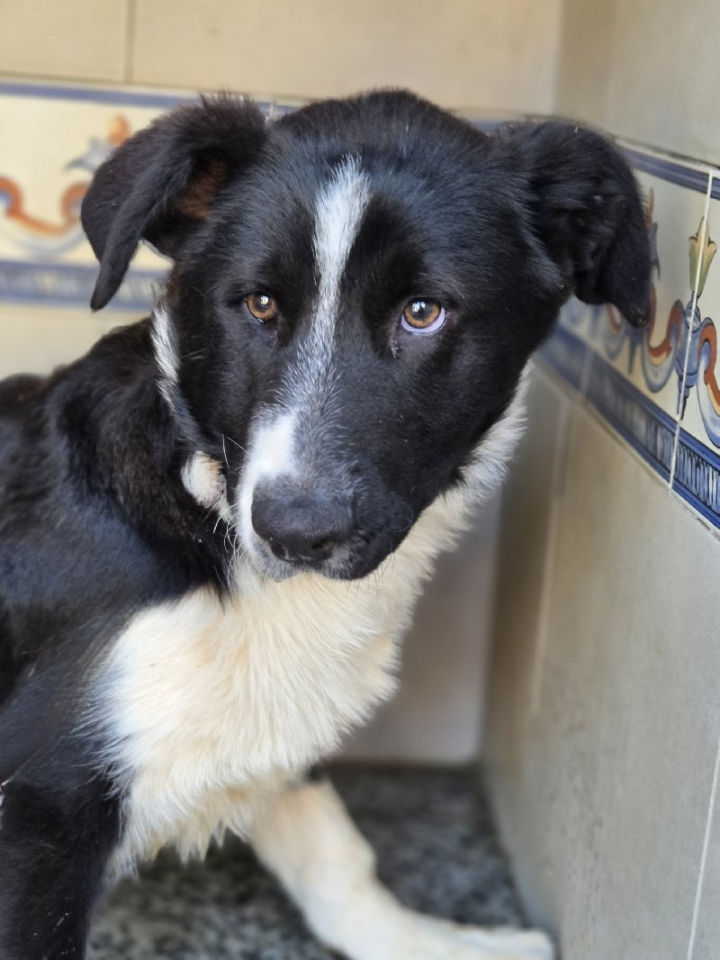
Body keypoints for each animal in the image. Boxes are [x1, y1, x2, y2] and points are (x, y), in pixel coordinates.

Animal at [0, 89, 650, 960]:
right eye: (259, 303)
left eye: (423, 312)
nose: (293, 531)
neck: (204, 509)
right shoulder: (37, 811)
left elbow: (334, 851)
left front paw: (424, 939)